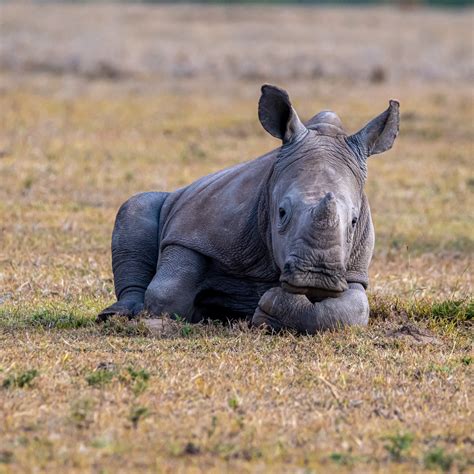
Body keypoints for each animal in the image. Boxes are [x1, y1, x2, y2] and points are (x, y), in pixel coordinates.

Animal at [98, 85, 398, 334]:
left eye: (354, 221)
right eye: (281, 212)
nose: (317, 276)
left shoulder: (354, 271)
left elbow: (351, 309)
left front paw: (268, 309)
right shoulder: (194, 229)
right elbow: (166, 292)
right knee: (135, 207)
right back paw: (117, 314)